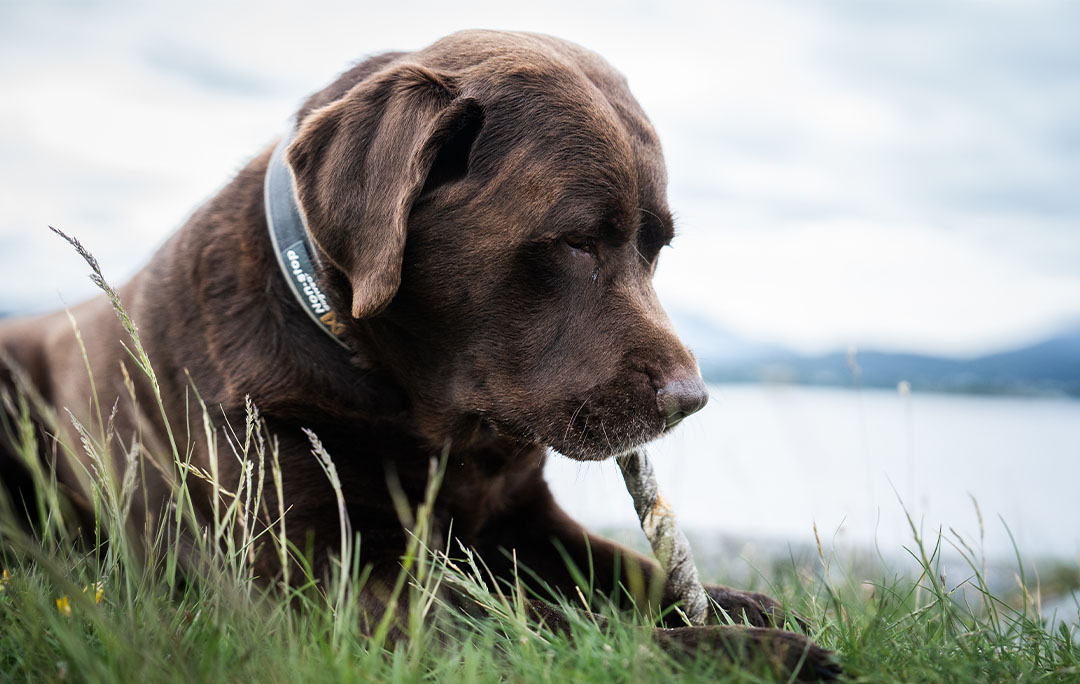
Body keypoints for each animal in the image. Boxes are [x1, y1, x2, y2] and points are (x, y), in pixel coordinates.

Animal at [0, 30, 838, 678]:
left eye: (655, 246)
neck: (425, 420)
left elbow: (626, 569)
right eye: (575, 242)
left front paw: (734, 602)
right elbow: (547, 625)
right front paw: (747, 651)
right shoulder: (325, 581)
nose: (690, 400)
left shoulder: (522, 517)